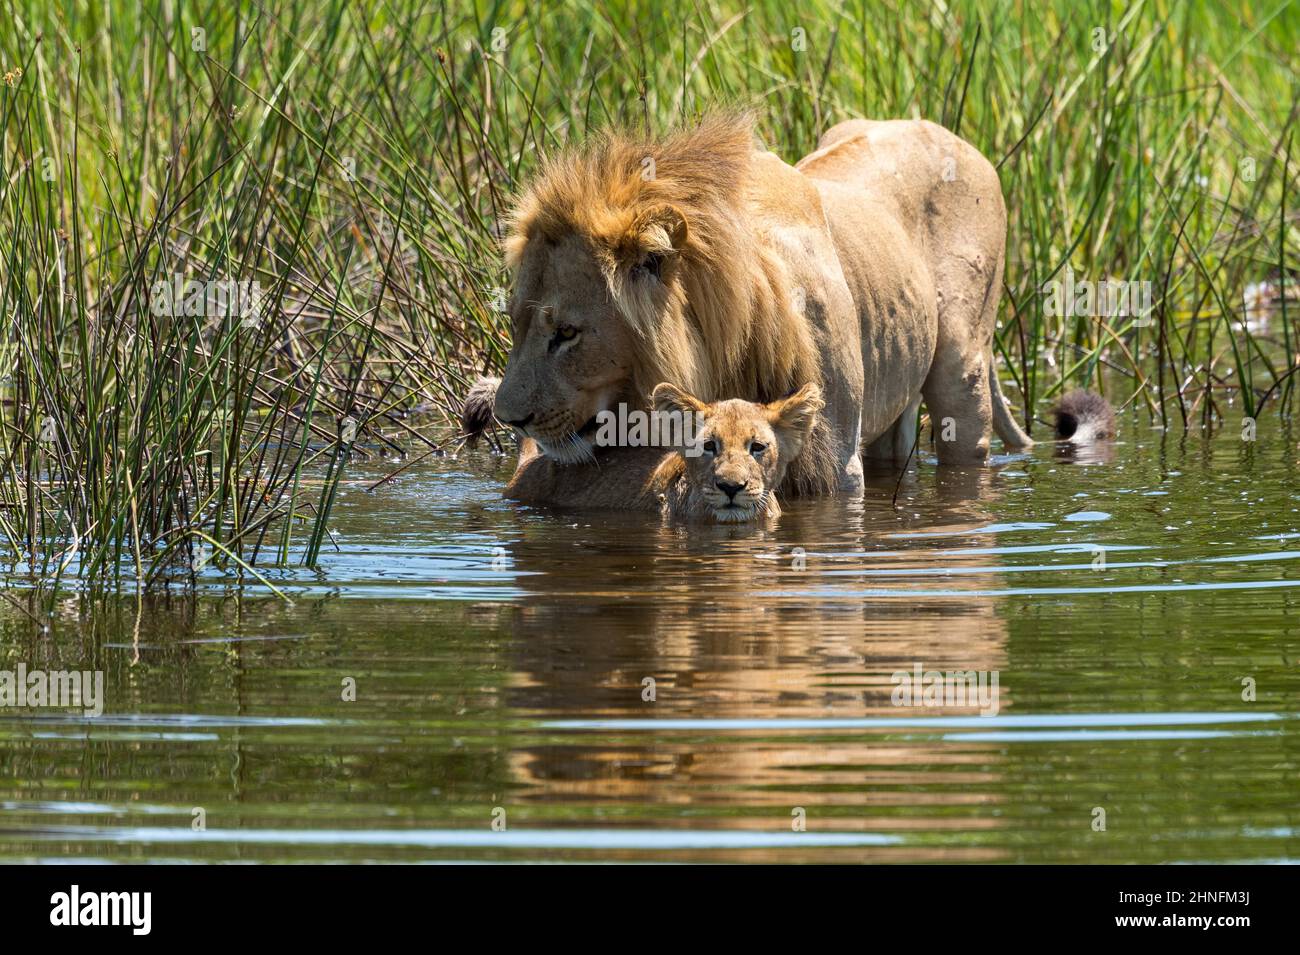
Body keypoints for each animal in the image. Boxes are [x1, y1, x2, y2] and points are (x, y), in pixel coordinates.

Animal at [491, 113, 1029, 509]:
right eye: (515, 323)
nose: (509, 420)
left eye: (566, 333)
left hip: (963, 367)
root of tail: (948, 133)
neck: (726, 339)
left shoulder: (834, 464)